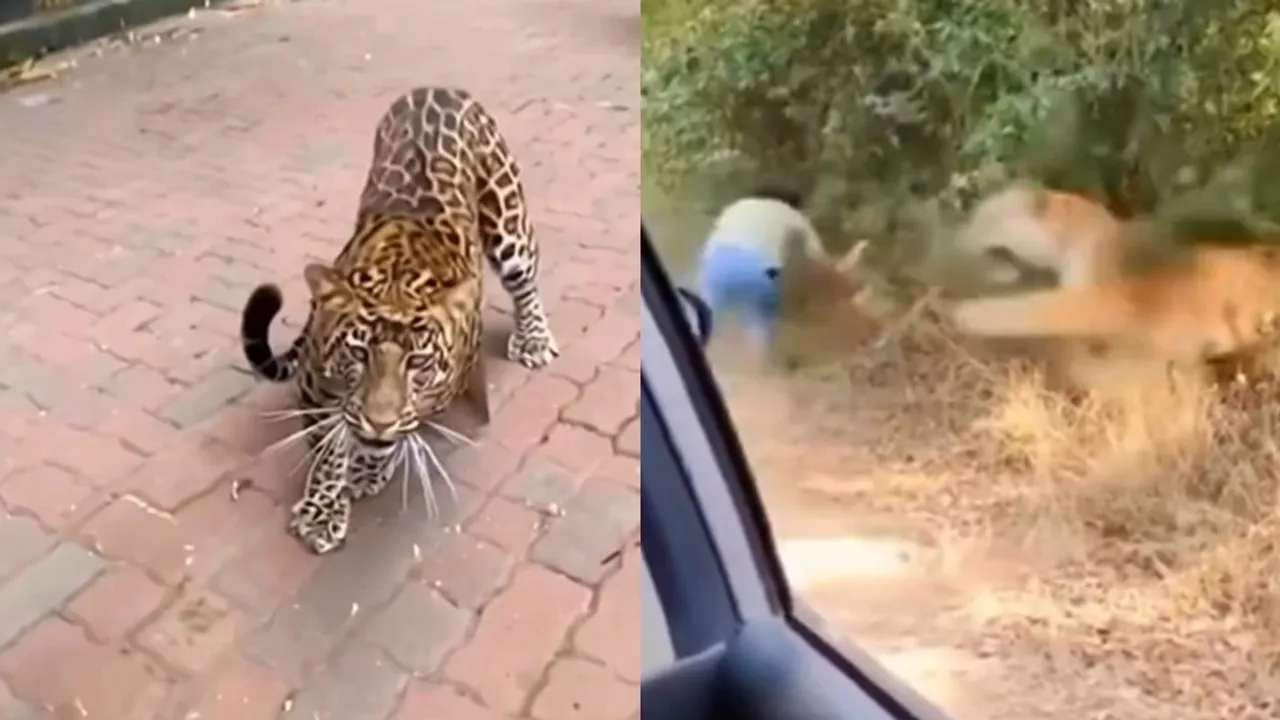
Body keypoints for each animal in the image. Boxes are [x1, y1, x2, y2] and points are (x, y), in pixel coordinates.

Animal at [238, 87, 559, 555]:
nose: (378, 421)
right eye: (357, 354)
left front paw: (368, 469)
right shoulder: (316, 387)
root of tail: (435, 88)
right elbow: (328, 447)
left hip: (507, 219)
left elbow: (393, 434)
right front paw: (324, 509)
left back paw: (533, 337)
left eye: (418, 363)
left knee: (524, 279)